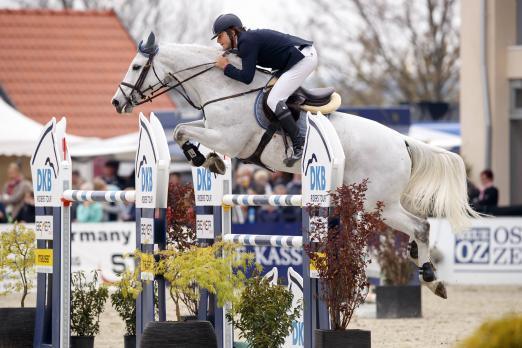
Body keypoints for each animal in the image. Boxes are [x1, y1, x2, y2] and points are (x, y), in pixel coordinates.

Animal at [111, 33, 478, 300]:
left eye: (135, 67)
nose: (116, 103)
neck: (225, 89)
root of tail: (402, 141)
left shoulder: (228, 138)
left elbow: (180, 130)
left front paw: (206, 159)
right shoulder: (214, 130)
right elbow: (183, 130)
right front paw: (209, 160)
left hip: (379, 202)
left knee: (421, 227)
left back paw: (431, 278)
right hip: (374, 200)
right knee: (417, 229)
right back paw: (424, 267)